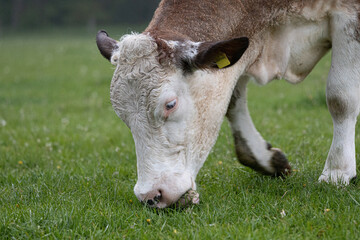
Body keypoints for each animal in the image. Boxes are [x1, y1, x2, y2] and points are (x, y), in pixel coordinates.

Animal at [95, 0, 360, 208]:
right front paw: (264, 158)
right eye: (123, 116)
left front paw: (337, 171)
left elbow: (340, 98)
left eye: (170, 104)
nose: (150, 195)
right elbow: (232, 101)